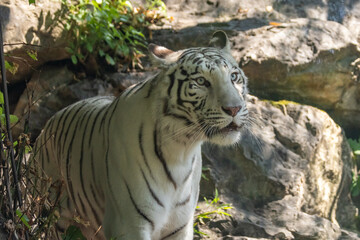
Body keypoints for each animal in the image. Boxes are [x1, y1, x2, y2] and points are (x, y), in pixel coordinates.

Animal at [33, 31, 248, 239]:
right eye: (201, 81)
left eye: (234, 76)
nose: (234, 109)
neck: (182, 149)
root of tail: (47, 125)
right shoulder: (129, 224)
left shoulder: (180, 226)